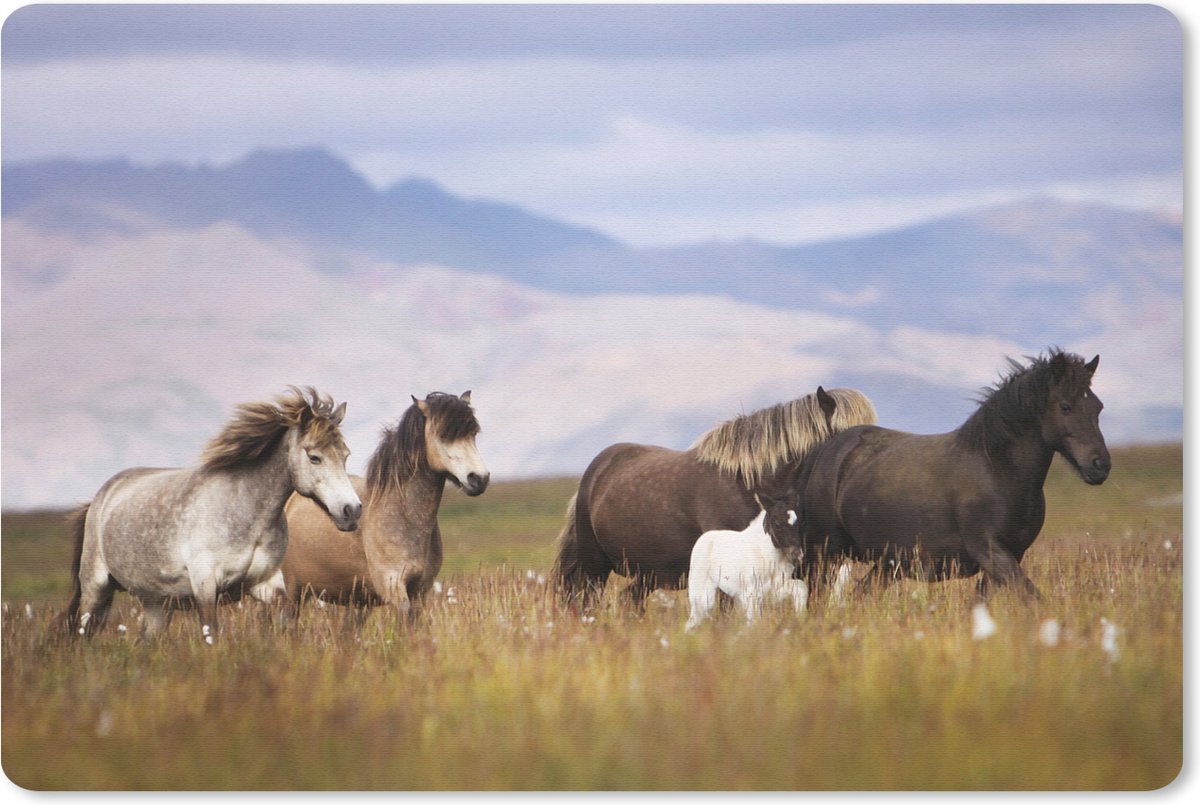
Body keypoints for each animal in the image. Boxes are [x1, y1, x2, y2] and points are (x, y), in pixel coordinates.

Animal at [65, 387, 361, 642]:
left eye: (345, 456)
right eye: (314, 457)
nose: (352, 510)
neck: (246, 513)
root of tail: (103, 495)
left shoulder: (266, 584)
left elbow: (286, 622)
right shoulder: (205, 586)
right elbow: (212, 634)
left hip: (157, 603)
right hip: (95, 589)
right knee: (82, 634)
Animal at [266, 391, 489, 621]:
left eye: (473, 434)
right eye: (443, 435)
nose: (479, 479)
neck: (404, 517)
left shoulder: (420, 591)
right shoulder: (393, 587)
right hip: (292, 594)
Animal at [552, 386, 878, 610]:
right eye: (848, 435)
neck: (752, 485)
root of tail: (598, 468)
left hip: (650, 574)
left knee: (629, 600)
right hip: (593, 566)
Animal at [685, 489, 809, 630]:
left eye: (799, 523)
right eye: (777, 524)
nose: (797, 554)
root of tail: (703, 538)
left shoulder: (775, 589)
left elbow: (801, 587)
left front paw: (801, 619)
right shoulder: (752, 594)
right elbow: (754, 622)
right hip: (702, 594)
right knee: (693, 620)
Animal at [787, 349, 1111, 600]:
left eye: (1097, 407)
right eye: (1066, 406)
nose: (1100, 465)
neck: (997, 470)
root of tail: (829, 447)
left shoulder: (1008, 556)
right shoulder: (991, 552)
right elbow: (1033, 598)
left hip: (887, 563)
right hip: (826, 552)